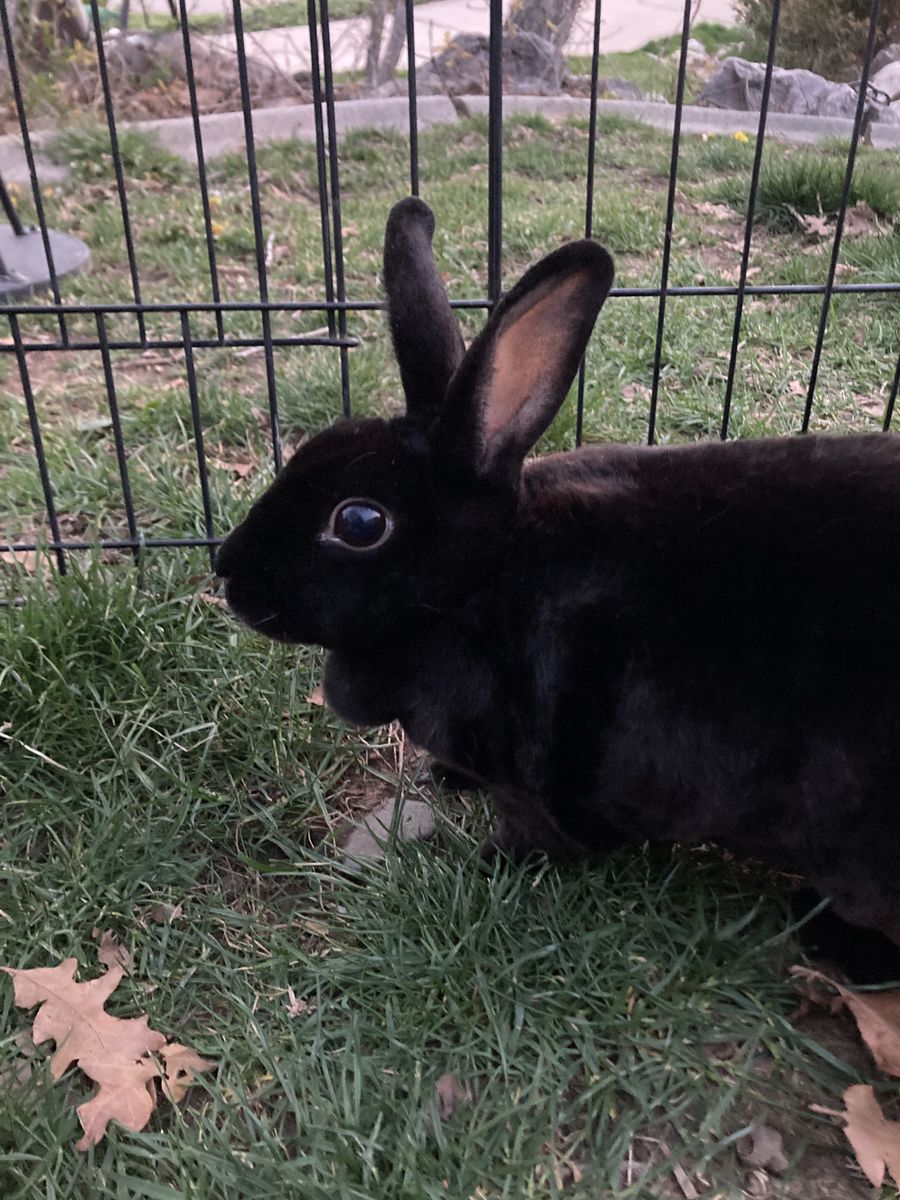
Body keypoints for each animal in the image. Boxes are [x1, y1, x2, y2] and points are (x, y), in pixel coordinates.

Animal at [216, 196, 900, 972]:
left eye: (360, 522)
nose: (228, 570)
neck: (479, 585)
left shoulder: (542, 779)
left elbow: (539, 833)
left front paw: (488, 861)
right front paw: (445, 780)